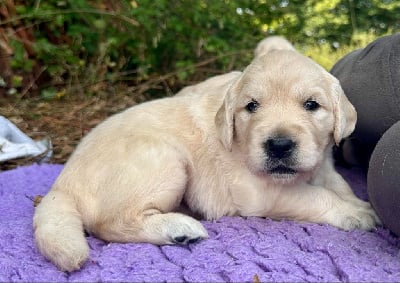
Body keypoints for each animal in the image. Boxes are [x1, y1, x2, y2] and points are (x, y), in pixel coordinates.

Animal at [32, 36, 380, 272]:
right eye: (251, 106)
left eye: (311, 105)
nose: (279, 145)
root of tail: (61, 185)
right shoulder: (263, 193)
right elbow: (316, 197)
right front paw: (357, 212)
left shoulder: (323, 166)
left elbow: (338, 185)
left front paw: (354, 200)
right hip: (168, 160)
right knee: (110, 223)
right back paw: (179, 229)